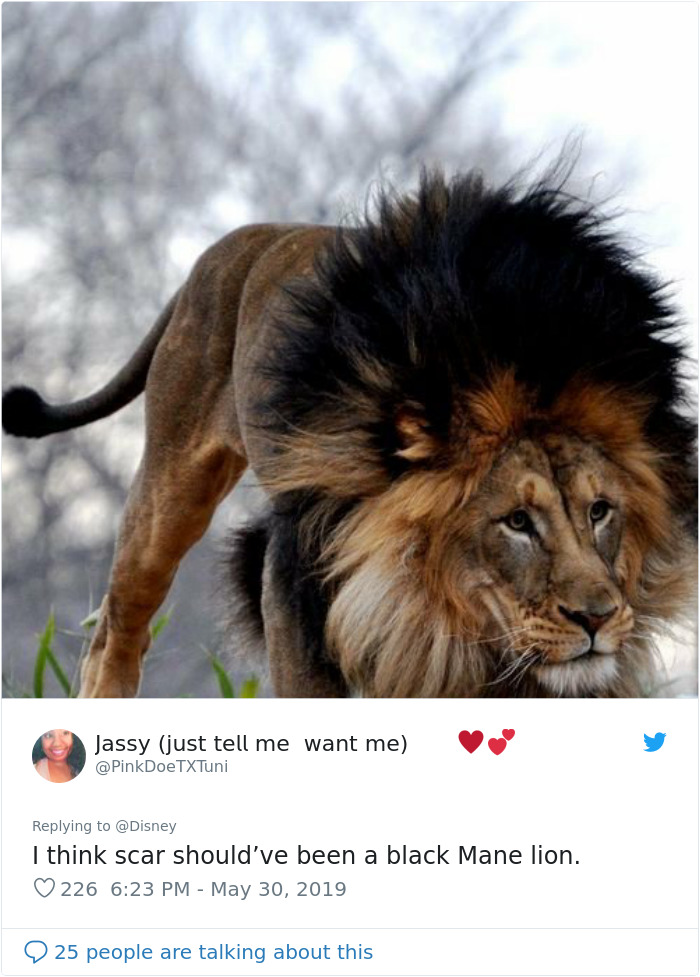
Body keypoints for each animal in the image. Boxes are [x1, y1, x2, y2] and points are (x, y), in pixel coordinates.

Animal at [3, 171, 696, 698]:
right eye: (517, 522)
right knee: (117, 631)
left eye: (600, 511)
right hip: (168, 491)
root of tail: (249, 237)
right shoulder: (295, 583)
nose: (596, 620)